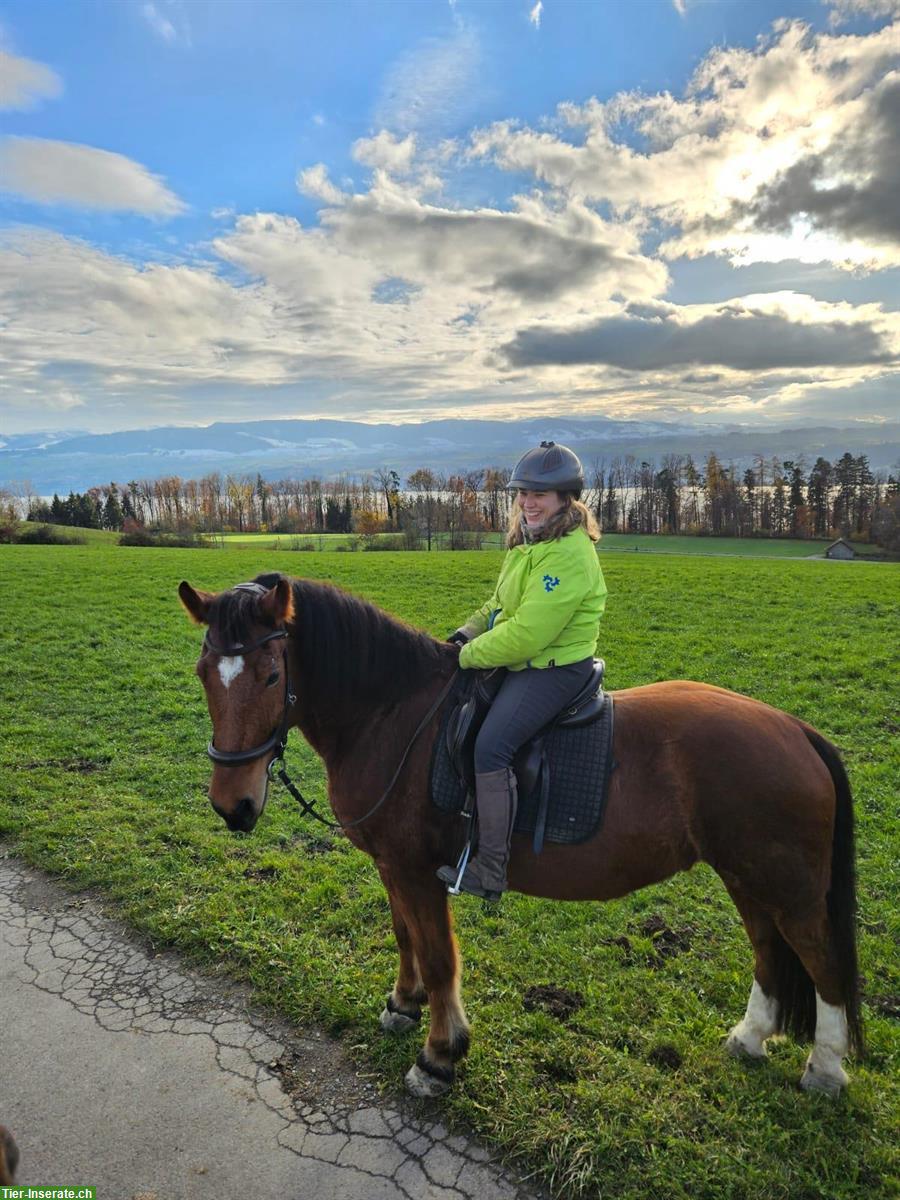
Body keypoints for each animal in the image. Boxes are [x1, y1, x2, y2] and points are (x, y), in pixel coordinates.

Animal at [177, 571, 868, 1099]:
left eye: (271, 676)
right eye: (205, 671)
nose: (233, 807)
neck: (391, 714)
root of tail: (796, 730)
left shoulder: (416, 870)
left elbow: (439, 956)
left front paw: (440, 1056)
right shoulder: (391, 865)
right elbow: (404, 935)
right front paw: (402, 1006)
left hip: (788, 889)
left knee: (823, 962)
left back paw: (826, 1070)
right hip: (749, 879)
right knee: (770, 954)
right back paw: (750, 1038)